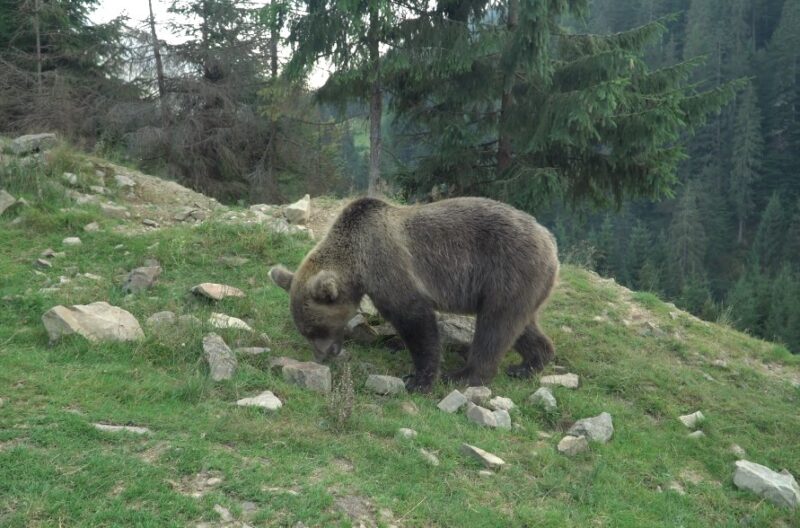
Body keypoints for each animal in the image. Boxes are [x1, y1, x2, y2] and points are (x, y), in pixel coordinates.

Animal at [272, 196, 560, 390]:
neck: (357, 260)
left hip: (509, 269)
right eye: (306, 331)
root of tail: (549, 240)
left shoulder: (387, 265)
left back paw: (465, 375)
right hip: (522, 284)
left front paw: (418, 379)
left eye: (317, 329)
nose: (323, 356)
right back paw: (528, 364)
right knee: (518, 324)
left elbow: (415, 319)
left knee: (496, 326)